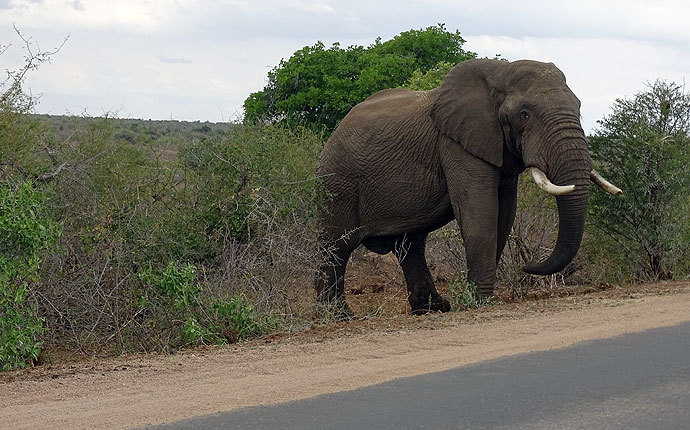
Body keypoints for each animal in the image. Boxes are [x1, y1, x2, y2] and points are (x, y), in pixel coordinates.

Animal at [312, 58, 620, 316]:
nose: (527, 265)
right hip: (337, 183)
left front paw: (478, 297)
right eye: (525, 115)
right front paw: (480, 300)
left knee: (410, 245)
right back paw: (338, 316)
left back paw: (433, 308)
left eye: (579, 108)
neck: (499, 74)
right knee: (336, 247)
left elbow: (503, 215)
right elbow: (479, 212)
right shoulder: (455, 144)